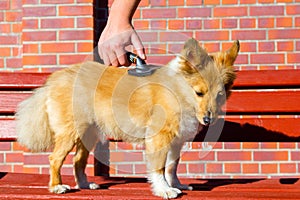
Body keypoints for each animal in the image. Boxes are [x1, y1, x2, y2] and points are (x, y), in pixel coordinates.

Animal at [16, 38, 240, 199]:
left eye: (220, 95)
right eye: (199, 93)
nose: (209, 120)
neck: (178, 91)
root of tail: (54, 80)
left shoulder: (176, 142)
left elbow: (172, 167)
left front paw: (176, 185)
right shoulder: (159, 138)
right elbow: (159, 168)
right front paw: (165, 190)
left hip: (88, 135)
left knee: (78, 161)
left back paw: (85, 185)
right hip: (70, 133)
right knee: (55, 159)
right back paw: (57, 187)